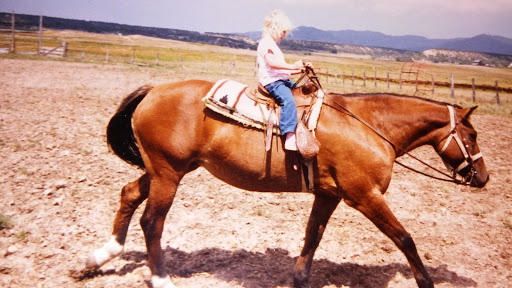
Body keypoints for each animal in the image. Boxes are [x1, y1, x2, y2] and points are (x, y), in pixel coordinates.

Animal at [87, 74, 488, 288]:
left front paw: (299, 278)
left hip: (165, 170)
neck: (368, 125)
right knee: (152, 221)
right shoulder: (364, 195)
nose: (483, 177)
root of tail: (153, 90)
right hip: (168, 174)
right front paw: (426, 281)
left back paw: (98, 258)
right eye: (471, 136)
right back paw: (160, 278)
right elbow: (404, 238)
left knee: (128, 195)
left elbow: (312, 236)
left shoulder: (329, 195)